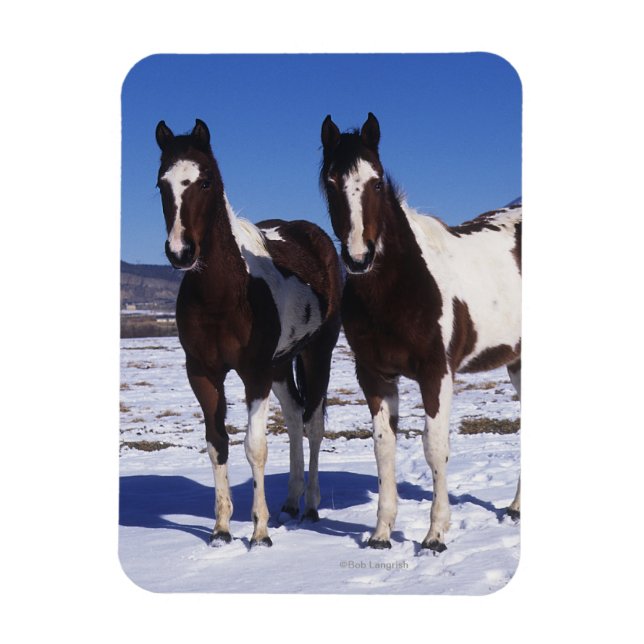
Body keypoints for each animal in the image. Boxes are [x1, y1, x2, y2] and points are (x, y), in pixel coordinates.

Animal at [155, 119, 342, 547]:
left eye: (205, 181)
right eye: (161, 184)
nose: (180, 252)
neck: (225, 293)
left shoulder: (254, 374)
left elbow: (255, 447)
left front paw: (259, 533)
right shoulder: (203, 374)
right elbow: (217, 444)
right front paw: (221, 529)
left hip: (316, 354)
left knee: (313, 425)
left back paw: (310, 506)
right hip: (281, 365)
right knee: (294, 418)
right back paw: (289, 502)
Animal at [320, 113, 521, 552]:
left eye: (377, 181)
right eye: (330, 181)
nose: (358, 257)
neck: (400, 285)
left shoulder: (436, 373)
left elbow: (435, 446)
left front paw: (435, 535)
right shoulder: (374, 375)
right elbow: (384, 448)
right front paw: (381, 534)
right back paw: (516, 508)